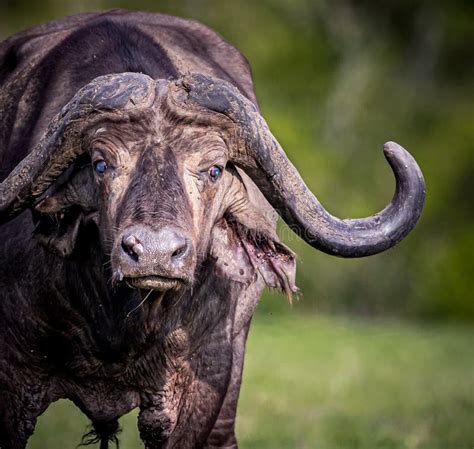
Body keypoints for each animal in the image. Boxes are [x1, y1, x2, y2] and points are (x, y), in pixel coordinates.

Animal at [0, 9, 426, 448]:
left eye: (214, 169)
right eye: (101, 164)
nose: (154, 252)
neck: (122, 323)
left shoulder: (204, 380)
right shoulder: (12, 379)